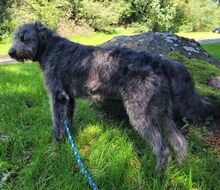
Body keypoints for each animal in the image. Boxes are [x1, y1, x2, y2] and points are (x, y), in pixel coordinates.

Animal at [9, 21, 213, 172]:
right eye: (15, 37)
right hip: (159, 111)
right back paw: (180, 166)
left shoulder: (58, 96)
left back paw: (157, 175)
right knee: (179, 140)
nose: (10, 52)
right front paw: (70, 139)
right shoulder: (69, 98)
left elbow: (58, 123)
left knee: (162, 149)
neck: (50, 49)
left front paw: (56, 144)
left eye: (23, 38)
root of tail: (159, 61)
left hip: (140, 113)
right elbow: (68, 119)